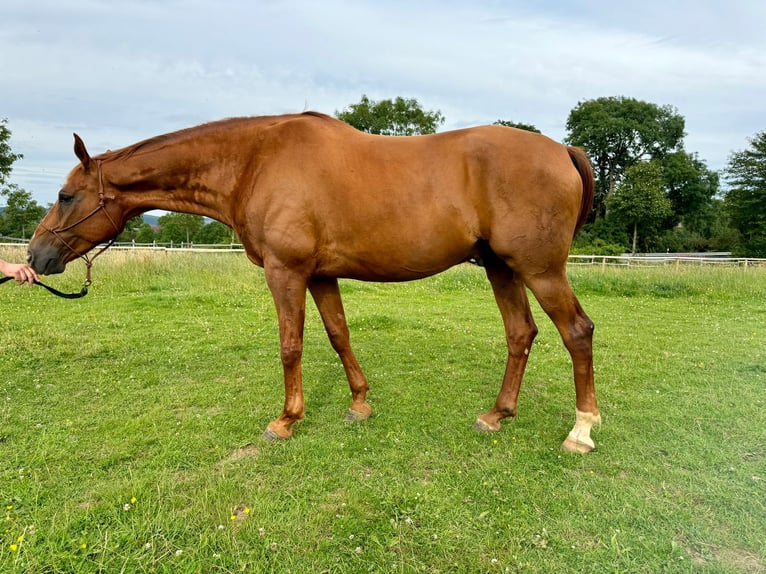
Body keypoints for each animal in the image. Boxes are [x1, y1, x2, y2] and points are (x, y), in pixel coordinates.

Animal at [27, 112, 604, 454]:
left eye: (65, 196)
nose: (36, 255)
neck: (255, 161)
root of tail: (562, 150)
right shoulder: (322, 274)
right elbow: (338, 335)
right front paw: (360, 404)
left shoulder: (286, 271)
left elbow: (291, 344)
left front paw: (286, 420)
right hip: (502, 268)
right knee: (520, 334)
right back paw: (497, 415)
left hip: (540, 270)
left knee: (576, 331)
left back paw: (581, 430)